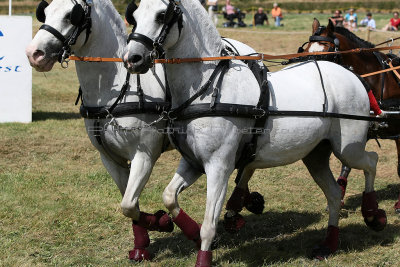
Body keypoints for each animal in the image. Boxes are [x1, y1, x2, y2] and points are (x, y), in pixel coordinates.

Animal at [26, 0, 173, 262]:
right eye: (46, 11)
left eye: (71, 15)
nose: (34, 53)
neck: (119, 89)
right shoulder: (111, 159)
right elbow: (129, 205)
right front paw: (141, 245)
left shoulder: (144, 156)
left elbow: (128, 204)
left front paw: (163, 221)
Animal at [124, 0, 384, 266]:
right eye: (134, 15)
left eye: (161, 15)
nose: (132, 58)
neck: (209, 89)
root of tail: (354, 75)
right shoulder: (193, 162)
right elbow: (168, 197)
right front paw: (178, 227)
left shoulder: (219, 166)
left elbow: (209, 224)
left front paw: (204, 252)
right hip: (315, 155)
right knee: (333, 194)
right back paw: (328, 244)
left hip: (348, 148)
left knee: (371, 161)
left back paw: (373, 215)